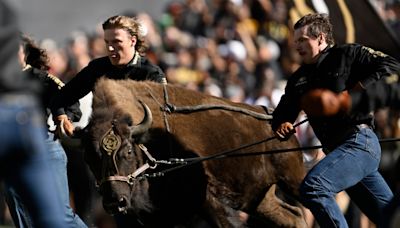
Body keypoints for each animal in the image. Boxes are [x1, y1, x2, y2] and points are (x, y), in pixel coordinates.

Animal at [79, 78, 308, 226]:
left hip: (292, 180)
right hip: (258, 199)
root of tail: (273, 117)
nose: (115, 202)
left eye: (127, 151)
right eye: (89, 158)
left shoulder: (208, 202)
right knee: (294, 217)